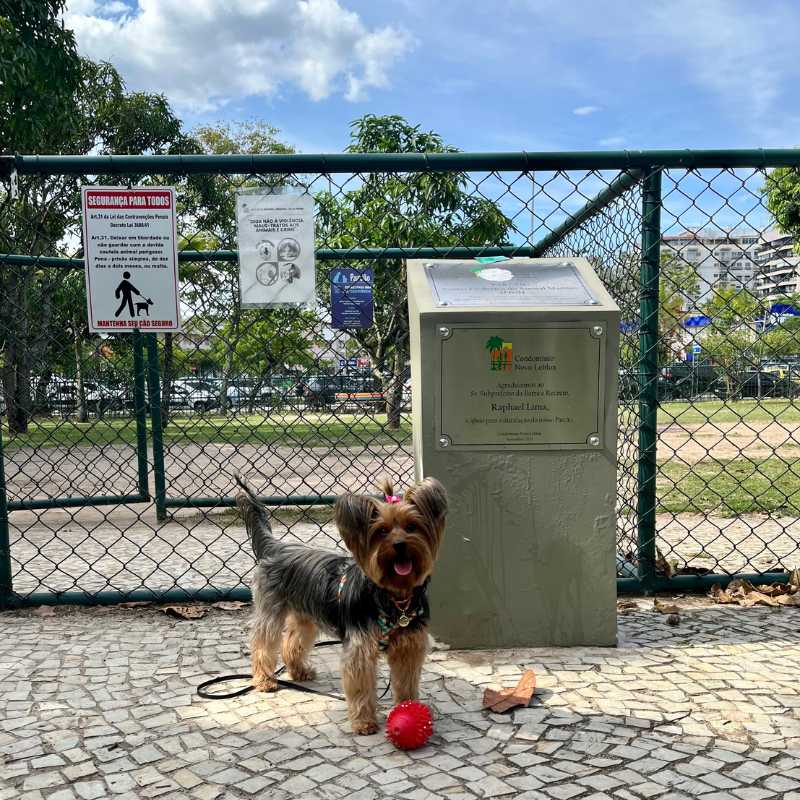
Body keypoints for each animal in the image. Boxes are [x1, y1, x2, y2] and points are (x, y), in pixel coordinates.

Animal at [234, 478, 446, 736]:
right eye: (382, 531)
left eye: (411, 526)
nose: (399, 544)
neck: (393, 596)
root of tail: (275, 547)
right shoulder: (360, 648)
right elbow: (361, 686)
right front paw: (364, 722)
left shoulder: (409, 646)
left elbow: (406, 682)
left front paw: (408, 707)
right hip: (270, 611)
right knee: (263, 643)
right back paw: (264, 680)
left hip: (305, 616)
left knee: (293, 641)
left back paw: (299, 671)